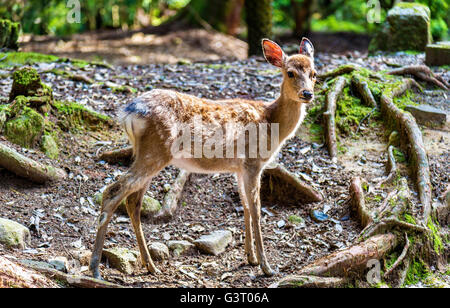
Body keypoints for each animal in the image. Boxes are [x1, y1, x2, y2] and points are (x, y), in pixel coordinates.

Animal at [90, 37, 316, 278]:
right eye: (290, 73)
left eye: (314, 73)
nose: (307, 94)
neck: (271, 121)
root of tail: (128, 113)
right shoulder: (253, 162)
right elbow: (256, 210)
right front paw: (267, 267)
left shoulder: (239, 168)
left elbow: (245, 206)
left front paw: (251, 258)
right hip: (156, 151)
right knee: (113, 191)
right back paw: (95, 268)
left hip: (148, 154)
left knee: (133, 201)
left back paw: (150, 265)